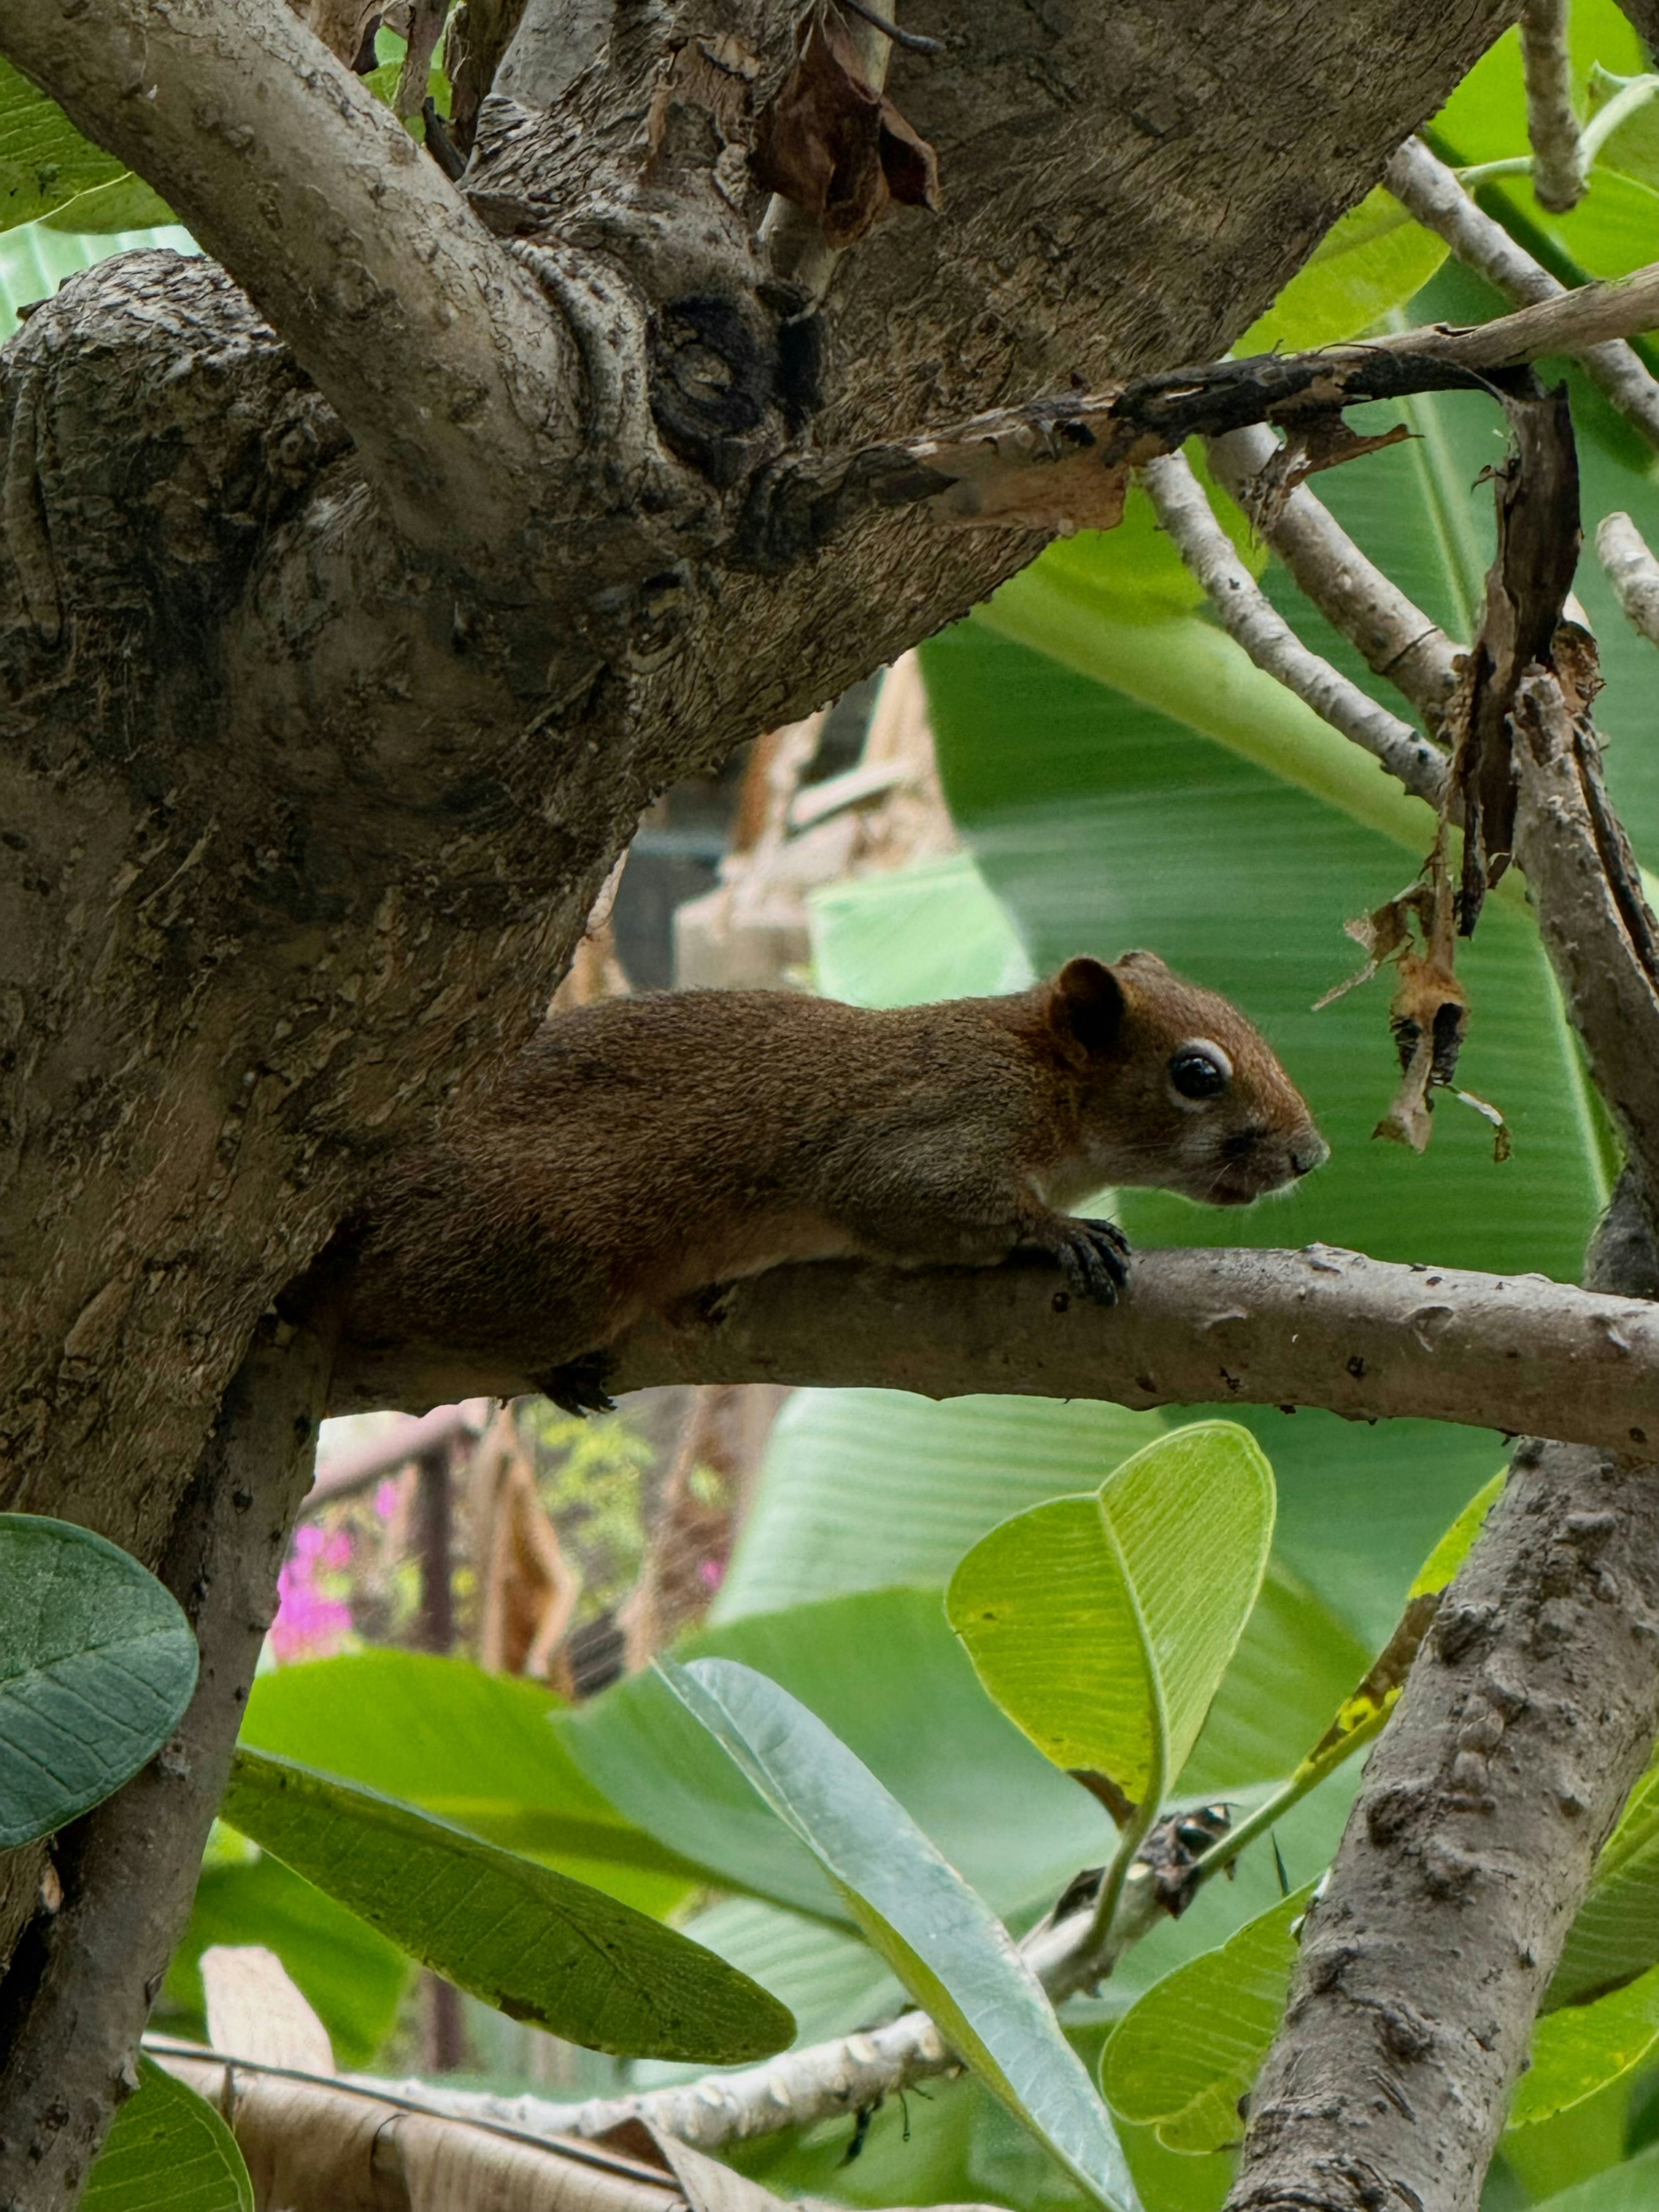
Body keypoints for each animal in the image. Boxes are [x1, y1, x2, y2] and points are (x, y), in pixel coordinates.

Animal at [327, 950, 1328, 1416]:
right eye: (1195, 1074)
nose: (1309, 1155)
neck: (1040, 1073)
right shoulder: (923, 1129)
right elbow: (920, 1197)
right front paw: (1059, 1233)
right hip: (555, 1259)